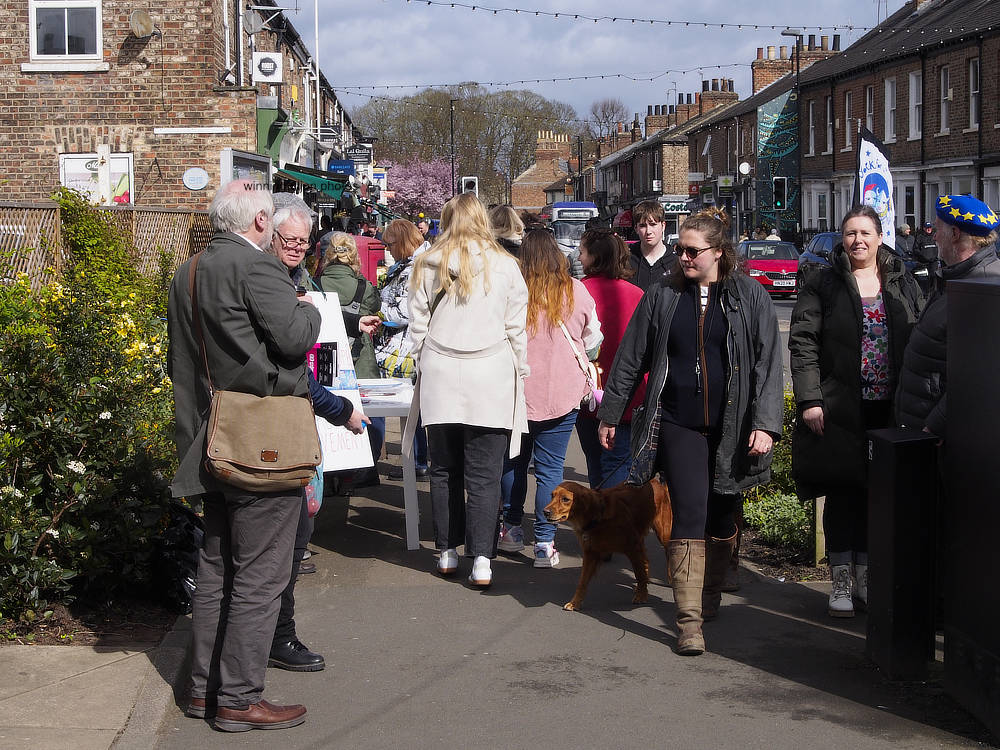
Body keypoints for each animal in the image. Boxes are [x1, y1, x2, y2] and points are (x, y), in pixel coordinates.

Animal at [544, 478, 676, 612]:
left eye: (565, 499)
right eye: (552, 495)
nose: (545, 512)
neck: (598, 518)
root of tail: (655, 481)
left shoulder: (633, 547)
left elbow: (639, 573)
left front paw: (641, 595)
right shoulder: (590, 553)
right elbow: (582, 582)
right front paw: (575, 603)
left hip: (663, 533)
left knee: (667, 552)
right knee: (646, 561)